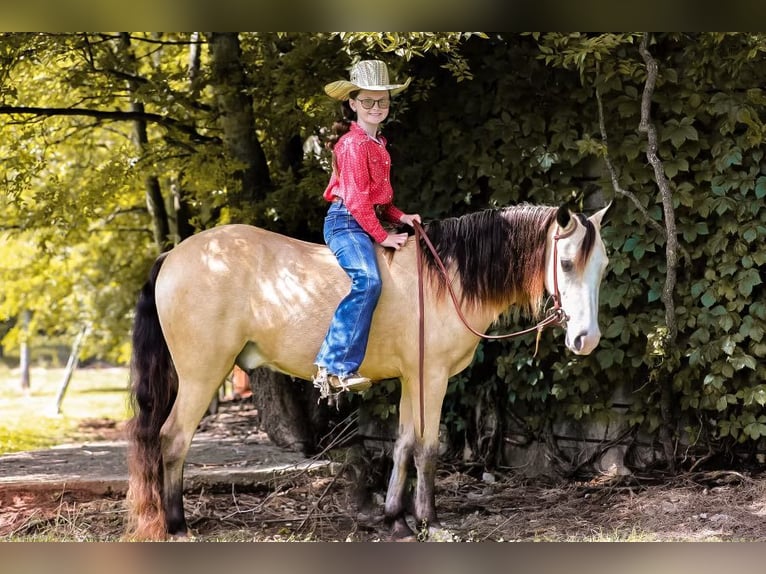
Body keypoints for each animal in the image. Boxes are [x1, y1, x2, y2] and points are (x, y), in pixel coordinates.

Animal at [124, 202, 611, 540]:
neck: (446, 278)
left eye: (603, 267)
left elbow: (404, 445)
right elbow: (428, 450)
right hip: (201, 376)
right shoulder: (431, 378)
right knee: (172, 439)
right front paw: (430, 522)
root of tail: (173, 255)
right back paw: (177, 526)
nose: (586, 339)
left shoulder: (412, 379)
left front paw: (395, 519)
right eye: (566, 263)